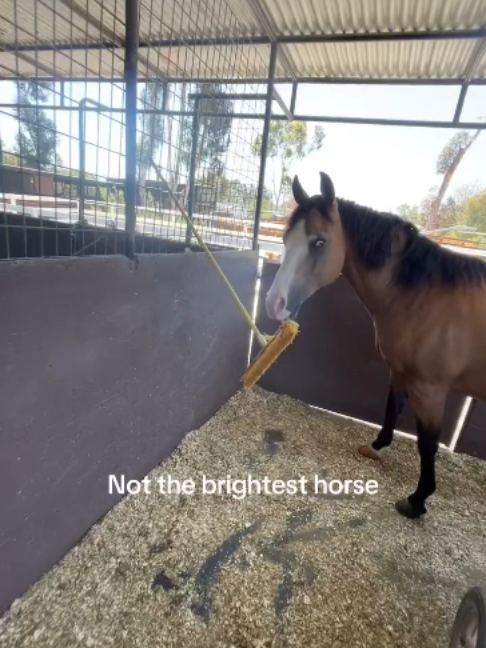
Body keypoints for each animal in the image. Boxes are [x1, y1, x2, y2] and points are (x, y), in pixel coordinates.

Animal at [265, 172, 486, 519]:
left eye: (319, 242)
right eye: (286, 240)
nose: (274, 304)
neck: (423, 297)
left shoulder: (431, 389)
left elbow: (427, 442)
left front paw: (417, 500)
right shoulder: (400, 371)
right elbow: (392, 407)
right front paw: (376, 446)